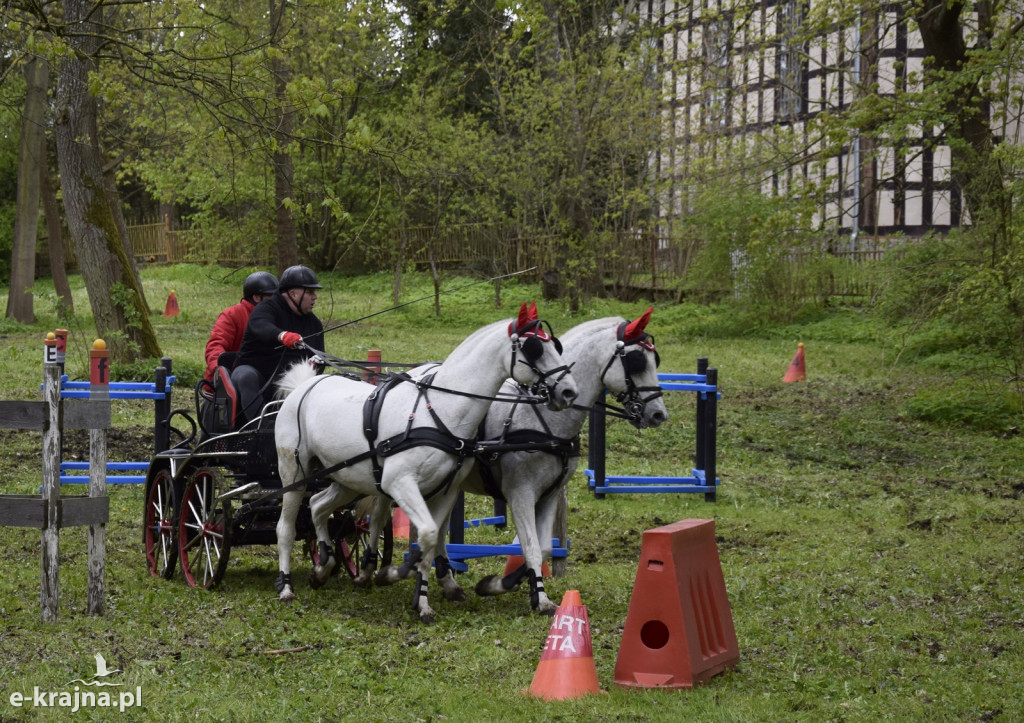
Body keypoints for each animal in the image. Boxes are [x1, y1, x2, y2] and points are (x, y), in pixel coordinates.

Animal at [274, 301, 577, 622]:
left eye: (555, 345)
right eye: (535, 349)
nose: (569, 391)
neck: (439, 410)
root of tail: (304, 386)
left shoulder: (446, 490)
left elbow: (431, 541)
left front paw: (421, 600)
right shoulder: (400, 484)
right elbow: (429, 535)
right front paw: (393, 573)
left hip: (348, 479)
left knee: (318, 506)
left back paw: (324, 564)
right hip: (294, 474)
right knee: (286, 528)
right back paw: (286, 586)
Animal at [450, 307, 671, 610]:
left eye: (655, 359)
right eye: (637, 361)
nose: (659, 414)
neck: (542, 419)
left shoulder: (550, 494)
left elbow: (542, 547)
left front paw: (498, 584)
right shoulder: (520, 493)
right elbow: (530, 546)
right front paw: (541, 600)